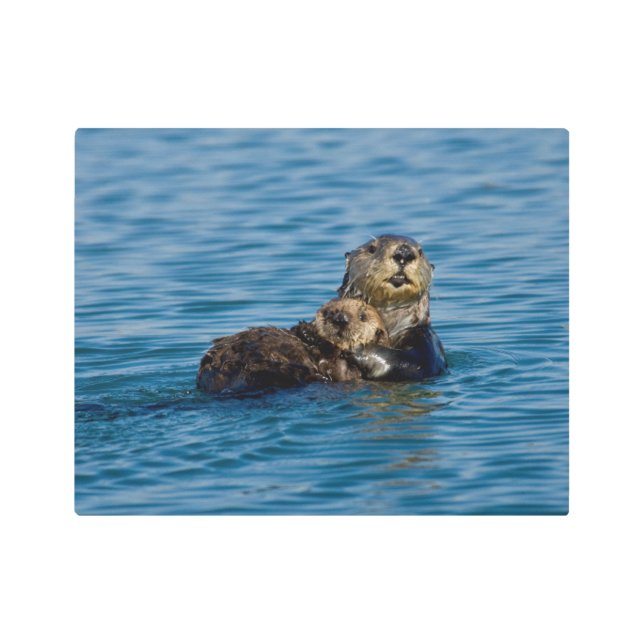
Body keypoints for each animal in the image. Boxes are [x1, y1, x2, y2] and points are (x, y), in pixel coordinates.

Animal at [197, 298, 389, 394]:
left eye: (363, 317)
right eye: (329, 312)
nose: (340, 318)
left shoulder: (349, 370)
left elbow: (338, 369)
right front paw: (305, 329)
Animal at [337, 234, 447, 380]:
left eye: (421, 252)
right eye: (372, 248)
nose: (404, 252)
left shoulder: (428, 342)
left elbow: (412, 364)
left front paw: (356, 348)